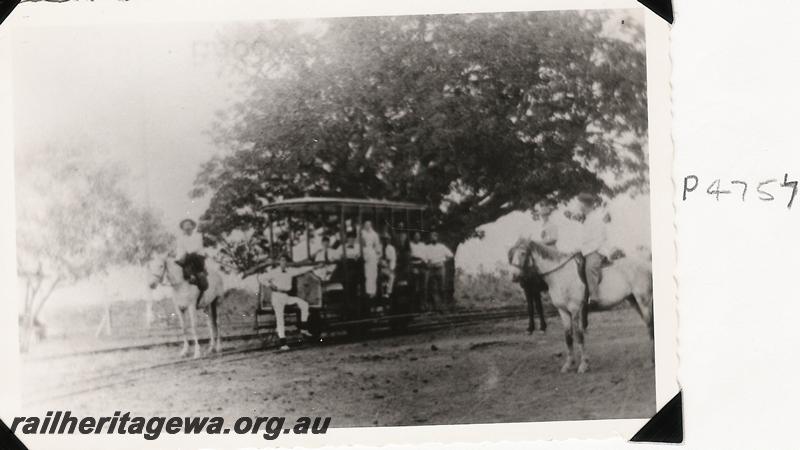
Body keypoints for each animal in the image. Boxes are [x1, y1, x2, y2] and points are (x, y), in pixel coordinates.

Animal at [510, 241, 652, 374]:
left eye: (523, 253)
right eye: (512, 255)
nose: (513, 276)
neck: (561, 275)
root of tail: (646, 265)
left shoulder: (575, 309)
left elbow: (579, 335)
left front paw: (583, 365)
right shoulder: (563, 311)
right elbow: (568, 337)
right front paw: (568, 364)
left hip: (643, 301)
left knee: (650, 325)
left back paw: (651, 362)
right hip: (633, 301)